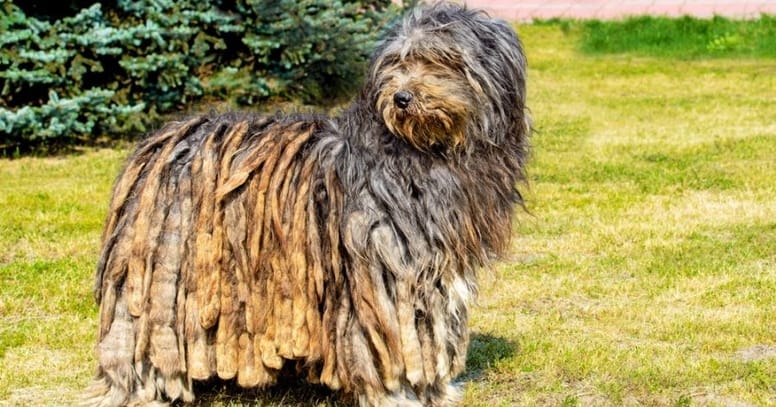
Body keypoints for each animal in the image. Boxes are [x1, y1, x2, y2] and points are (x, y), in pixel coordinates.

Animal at [88, 1, 532, 406]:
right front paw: (399, 393)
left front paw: (437, 390)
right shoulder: (382, 268)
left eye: (442, 60)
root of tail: (160, 142)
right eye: (398, 62)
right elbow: (392, 342)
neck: (424, 151)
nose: (402, 97)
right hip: (160, 273)